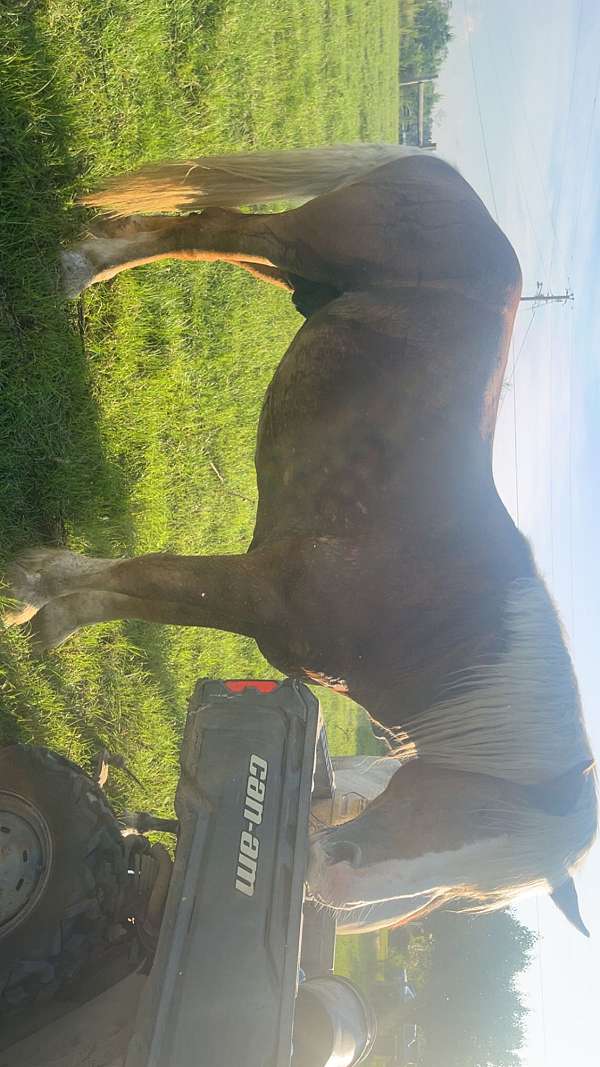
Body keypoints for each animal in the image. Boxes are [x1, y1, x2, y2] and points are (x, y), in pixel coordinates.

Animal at [4, 144, 597, 935]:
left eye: (468, 897)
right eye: (476, 813)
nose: (328, 879)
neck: (436, 625)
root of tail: (442, 172)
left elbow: (134, 593)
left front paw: (55, 618)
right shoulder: (256, 589)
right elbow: (150, 577)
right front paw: (28, 589)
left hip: (298, 280)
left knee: (215, 237)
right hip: (305, 245)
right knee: (218, 226)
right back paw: (80, 264)